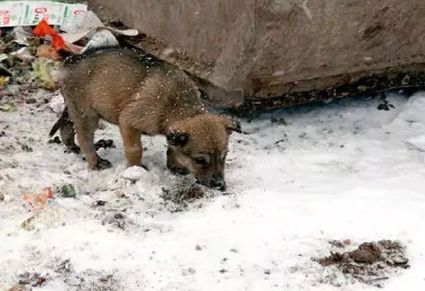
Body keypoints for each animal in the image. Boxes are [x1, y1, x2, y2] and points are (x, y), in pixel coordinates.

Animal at [49, 49, 238, 190]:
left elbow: (172, 148)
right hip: (87, 114)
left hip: (75, 108)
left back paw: (71, 145)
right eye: (199, 160)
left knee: (67, 126)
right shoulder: (128, 121)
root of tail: (70, 60)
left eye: (224, 157)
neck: (176, 104)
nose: (220, 185)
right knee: (85, 139)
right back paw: (95, 162)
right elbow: (135, 149)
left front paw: (175, 165)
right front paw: (136, 169)